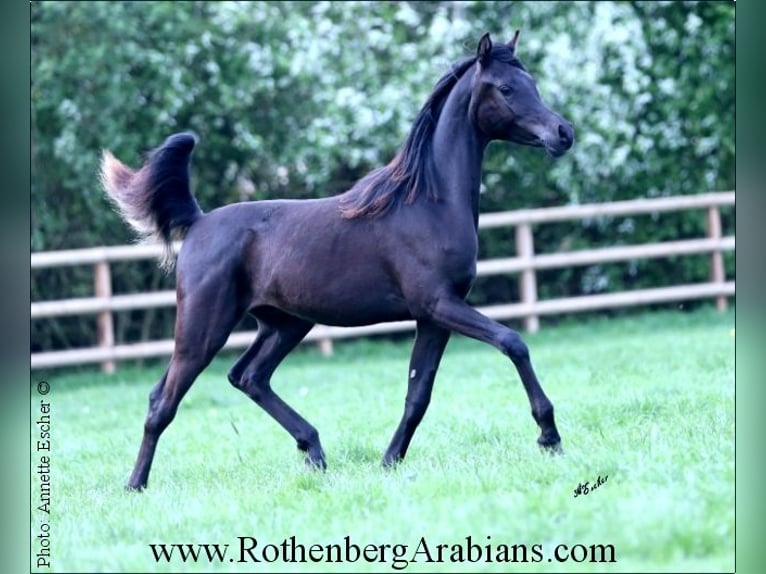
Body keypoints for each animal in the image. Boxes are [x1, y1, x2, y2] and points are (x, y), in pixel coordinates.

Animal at [101, 31, 574, 491]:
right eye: (507, 88)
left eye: (533, 84)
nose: (563, 133)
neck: (428, 204)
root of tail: (198, 223)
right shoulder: (438, 304)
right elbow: (513, 342)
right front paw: (549, 436)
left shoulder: (434, 317)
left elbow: (418, 394)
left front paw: (390, 460)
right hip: (203, 328)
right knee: (165, 401)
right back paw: (135, 485)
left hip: (285, 324)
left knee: (246, 377)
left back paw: (313, 450)